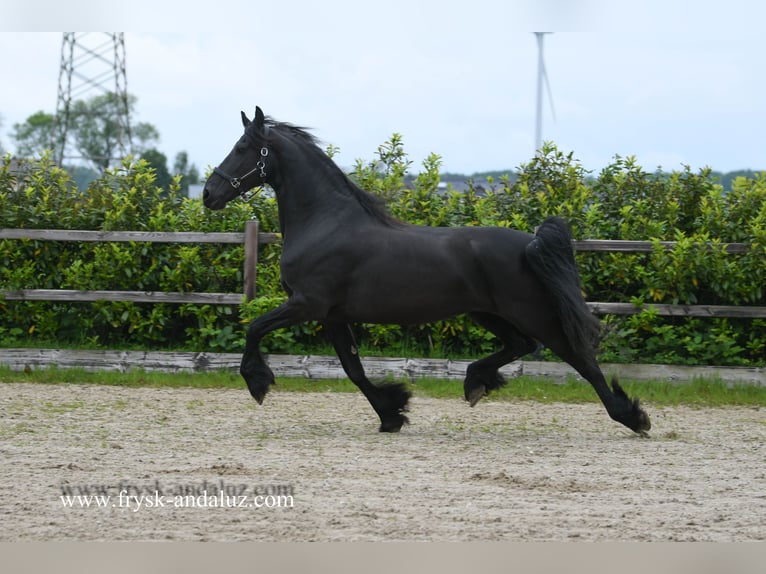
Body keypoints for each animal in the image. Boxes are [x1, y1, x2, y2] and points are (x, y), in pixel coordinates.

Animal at [206, 107, 656, 436]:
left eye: (243, 146)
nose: (210, 193)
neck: (325, 223)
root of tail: (527, 243)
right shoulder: (333, 316)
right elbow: (354, 369)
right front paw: (392, 413)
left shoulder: (306, 305)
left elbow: (254, 328)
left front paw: (258, 383)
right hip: (486, 313)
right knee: (521, 345)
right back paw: (476, 382)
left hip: (530, 311)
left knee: (578, 357)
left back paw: (631, 417)